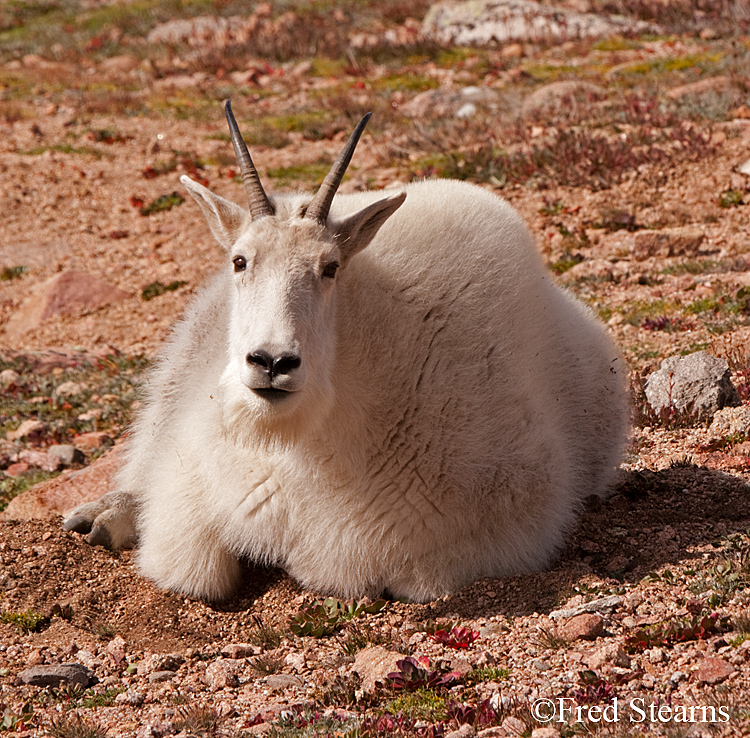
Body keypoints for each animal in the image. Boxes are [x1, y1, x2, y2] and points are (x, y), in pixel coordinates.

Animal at [63, 100, 628, 600]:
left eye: (330, 267)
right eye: (240, 260)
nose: (272, 363)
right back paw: (100, 516)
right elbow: (196, 566)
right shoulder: (192, 489)